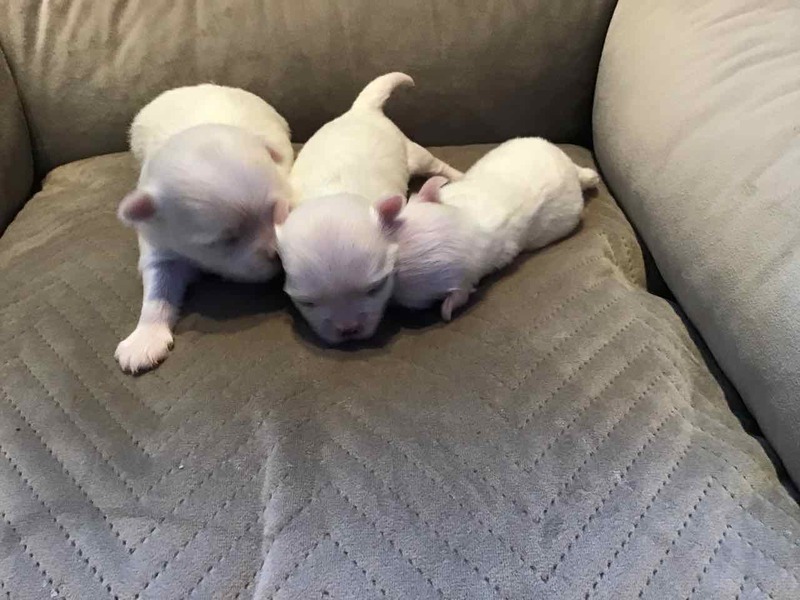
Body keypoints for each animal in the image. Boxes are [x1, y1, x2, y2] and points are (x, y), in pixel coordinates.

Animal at [115, 84, 293, 373]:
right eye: (226, 240)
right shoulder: (159, 247)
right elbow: (157, 292)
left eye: (278, 210)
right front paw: (144, 339)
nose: (278, 256)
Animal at [276, 72, 462, 345]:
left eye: (375, 288)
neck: (334, 193)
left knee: (436, 164)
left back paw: (458, 175)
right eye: (307, 302)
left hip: (413, 152)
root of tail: (361, 110)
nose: (348, 330)